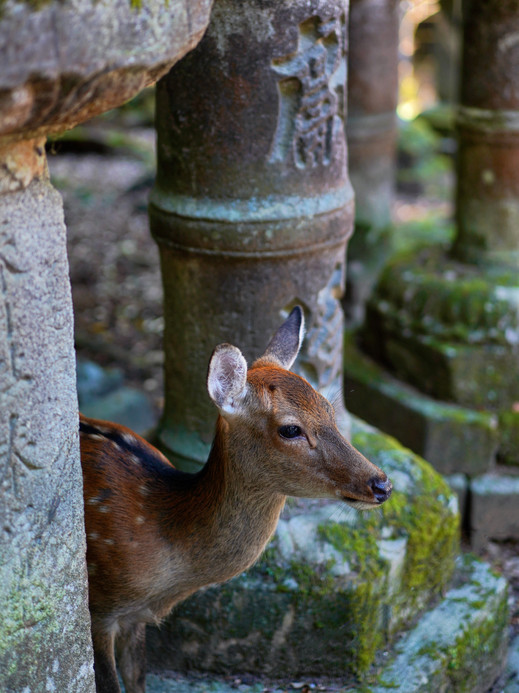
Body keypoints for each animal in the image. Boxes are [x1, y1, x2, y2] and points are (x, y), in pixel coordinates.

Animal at [80, 307, 392, 693]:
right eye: (290, 429)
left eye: (330, 411)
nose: (382, 484)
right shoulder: (99, 609)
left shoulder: (135, 619)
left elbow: (138, 681)